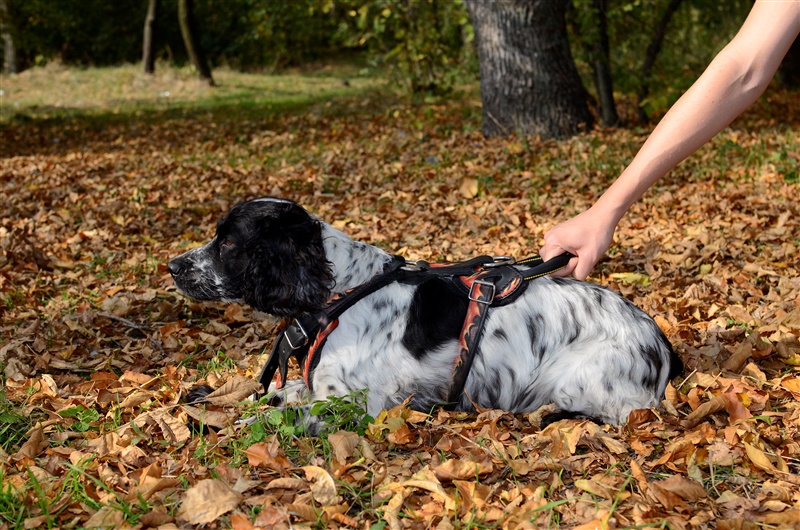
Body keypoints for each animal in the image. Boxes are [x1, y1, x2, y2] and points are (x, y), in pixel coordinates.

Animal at [170, 197, 680, 428]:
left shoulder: (352, 403)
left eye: (228, 242)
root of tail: (660, 342)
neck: (344, 291)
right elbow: (282, 393)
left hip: (578, 381)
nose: (172, 265)